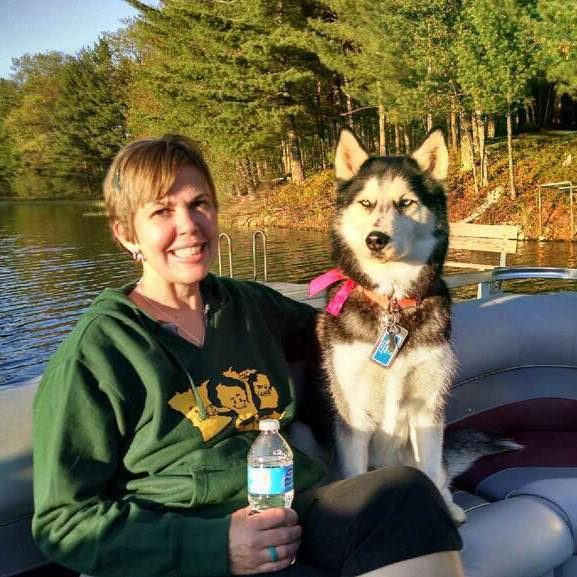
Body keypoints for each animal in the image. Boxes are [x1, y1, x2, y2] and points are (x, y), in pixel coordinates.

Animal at [316, 129, 500, 520]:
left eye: (405, 202)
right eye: (366, 203)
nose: (375, 239)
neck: (392, 303)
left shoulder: (427, 406)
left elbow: (429, 468)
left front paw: (443, 507)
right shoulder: (352, 413)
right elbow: (354, 472)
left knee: (439, 473)